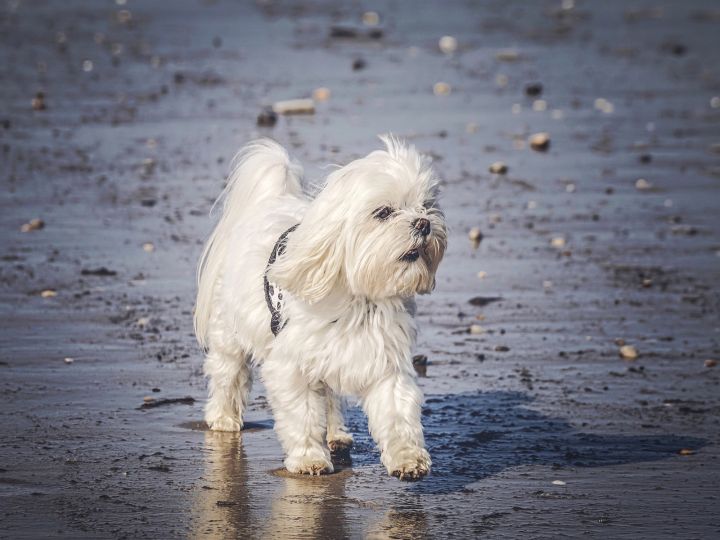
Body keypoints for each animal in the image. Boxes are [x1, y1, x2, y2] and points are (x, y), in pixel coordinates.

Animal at [194, 136, 448, 480]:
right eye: (383, 212)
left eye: (428, 206)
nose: (423, 223)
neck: (360, 298)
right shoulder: (290, 367)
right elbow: (302, 415)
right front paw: (308, 458)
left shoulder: (387, 362)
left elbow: (397, 413)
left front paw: (408, 459)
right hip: (229, 332)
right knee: (227, 373)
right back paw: (223, 418)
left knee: (330, 396)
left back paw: (337, 433)